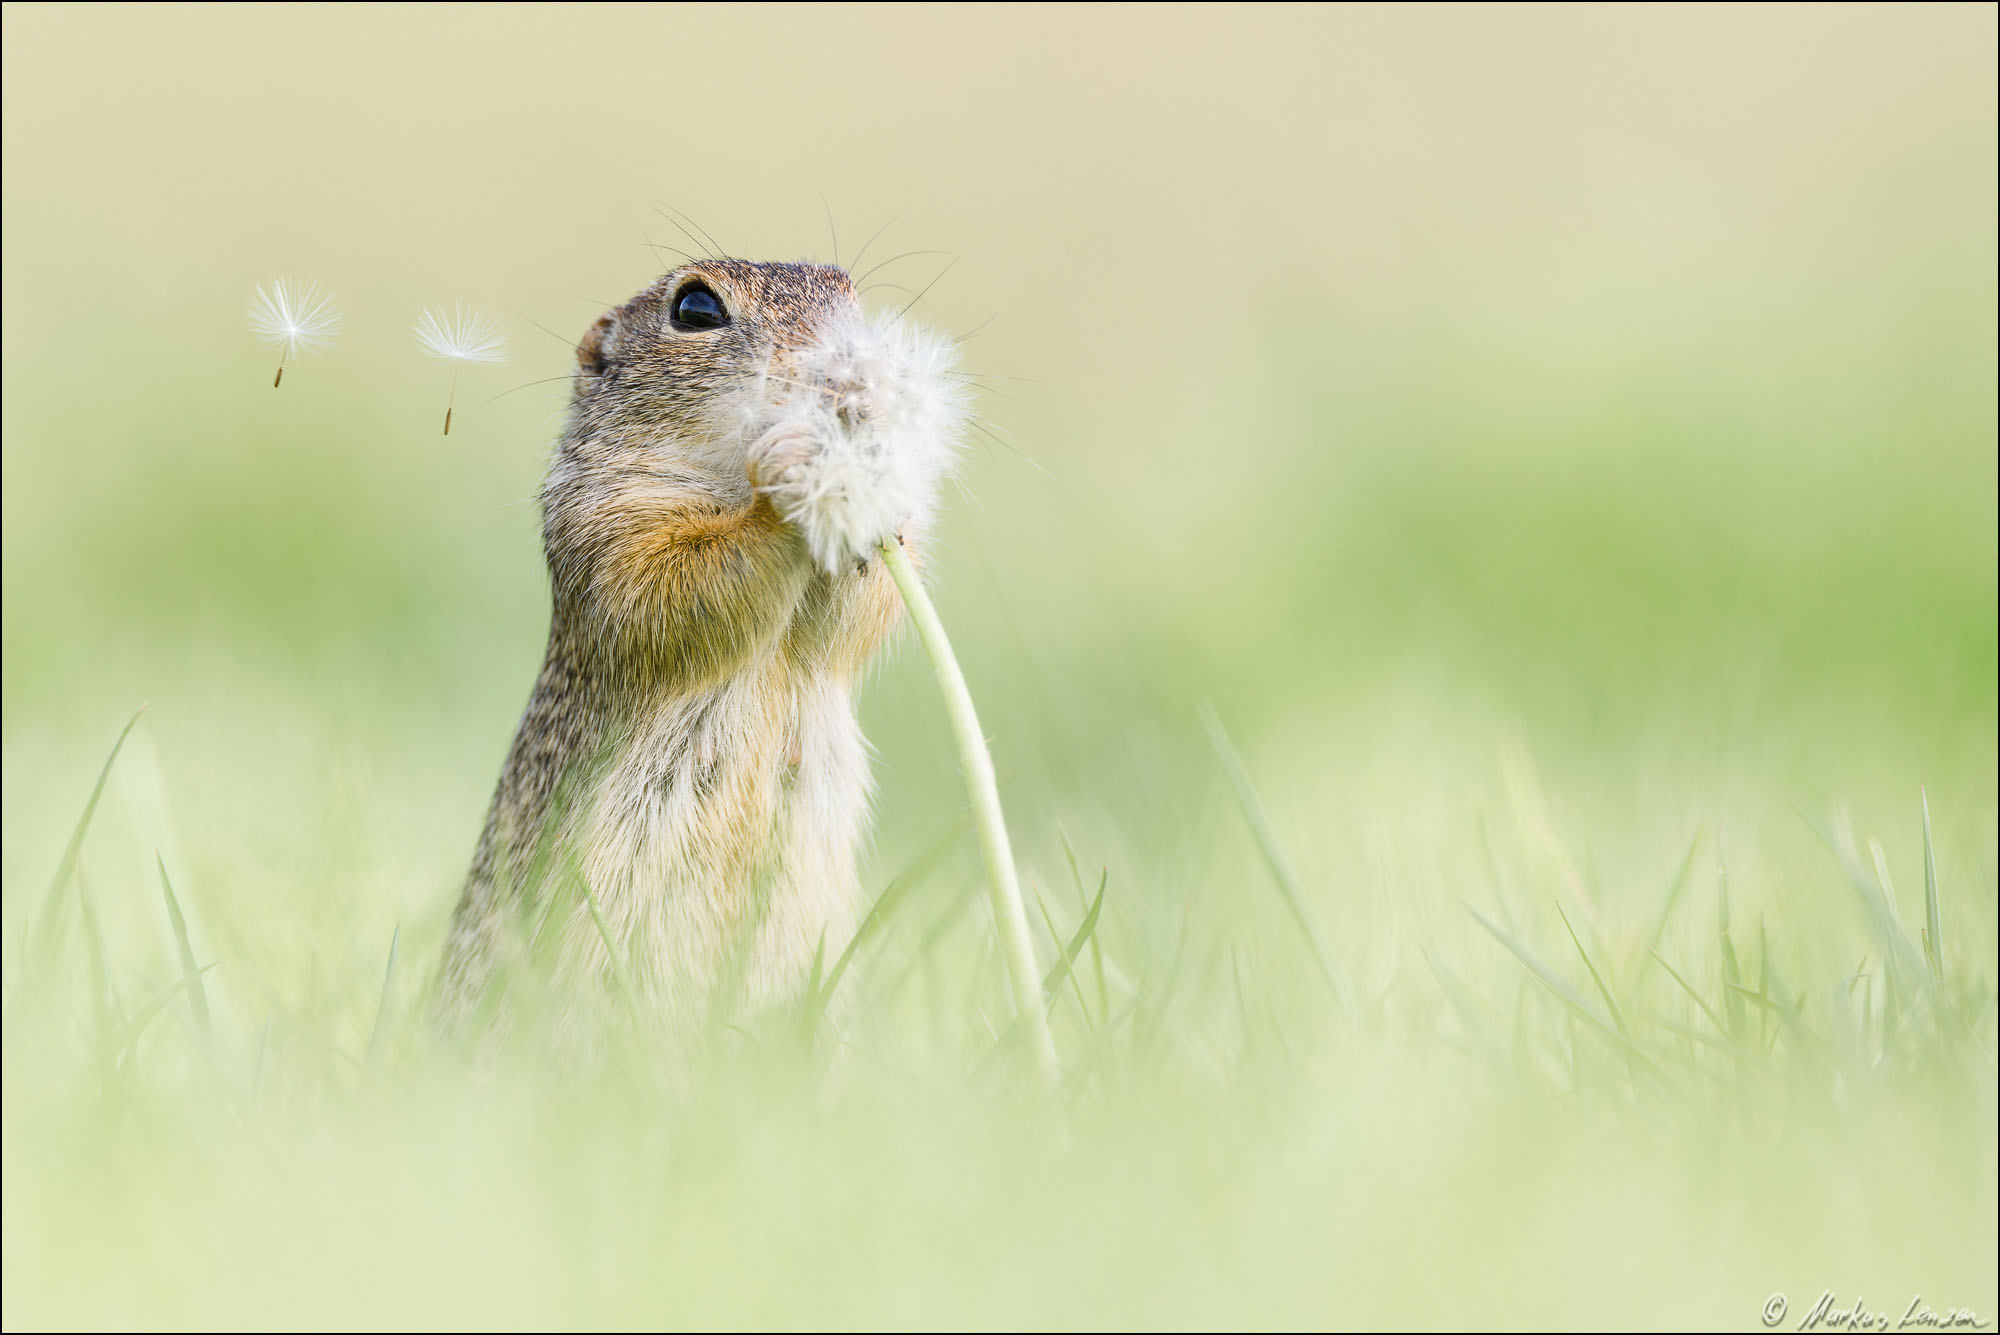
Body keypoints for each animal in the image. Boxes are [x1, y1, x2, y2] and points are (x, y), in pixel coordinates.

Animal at [433, 259, 968, 1037]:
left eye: (850, 296)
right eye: (695, 307)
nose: (845, 384)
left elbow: (861, 613)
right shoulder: (606, 523)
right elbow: (669, 588)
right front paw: (784, 481)